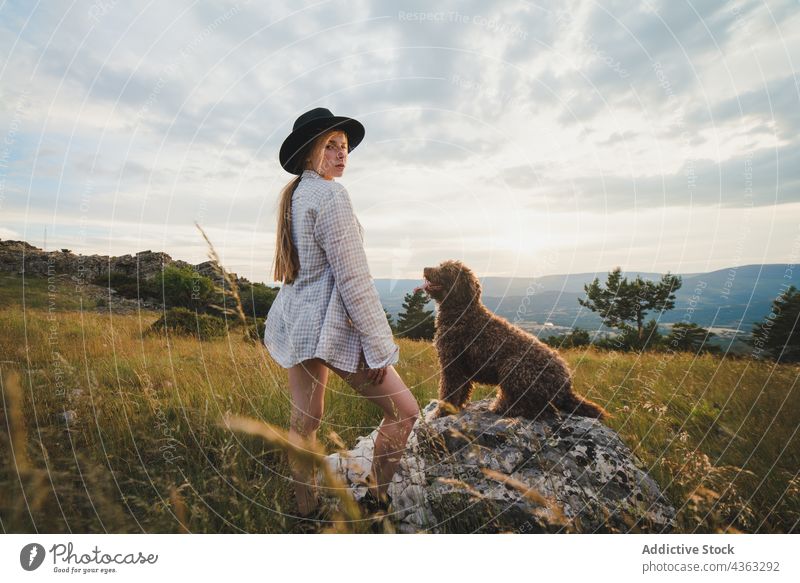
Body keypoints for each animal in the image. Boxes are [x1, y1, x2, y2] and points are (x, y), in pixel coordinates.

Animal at [418, 260, 608, 420]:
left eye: (446, 269)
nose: (425, 268)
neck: (461, 313)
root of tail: (567, 387)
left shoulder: (452, 365)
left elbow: (448, 392)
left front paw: (440, 412)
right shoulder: (462, 368)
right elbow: (461, 392)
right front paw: (455, 409)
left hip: (513, 368)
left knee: (534, 409)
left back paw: (501, 407)